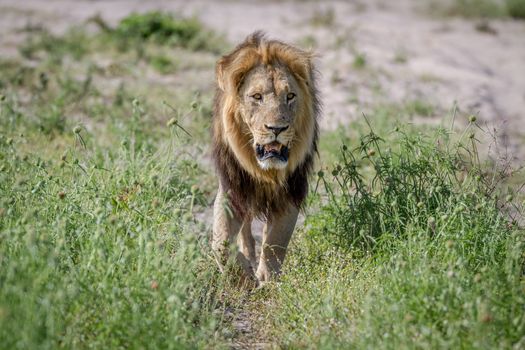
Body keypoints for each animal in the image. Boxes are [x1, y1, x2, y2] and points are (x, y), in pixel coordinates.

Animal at [210, 31, 320, 284]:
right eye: (257, 97)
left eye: (290, 96)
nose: (277, 128)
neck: (265, 170)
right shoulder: (232, 188)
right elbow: (220, 242)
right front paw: (243, 276)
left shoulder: (291, 190)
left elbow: (276, 242)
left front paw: (267, 280)